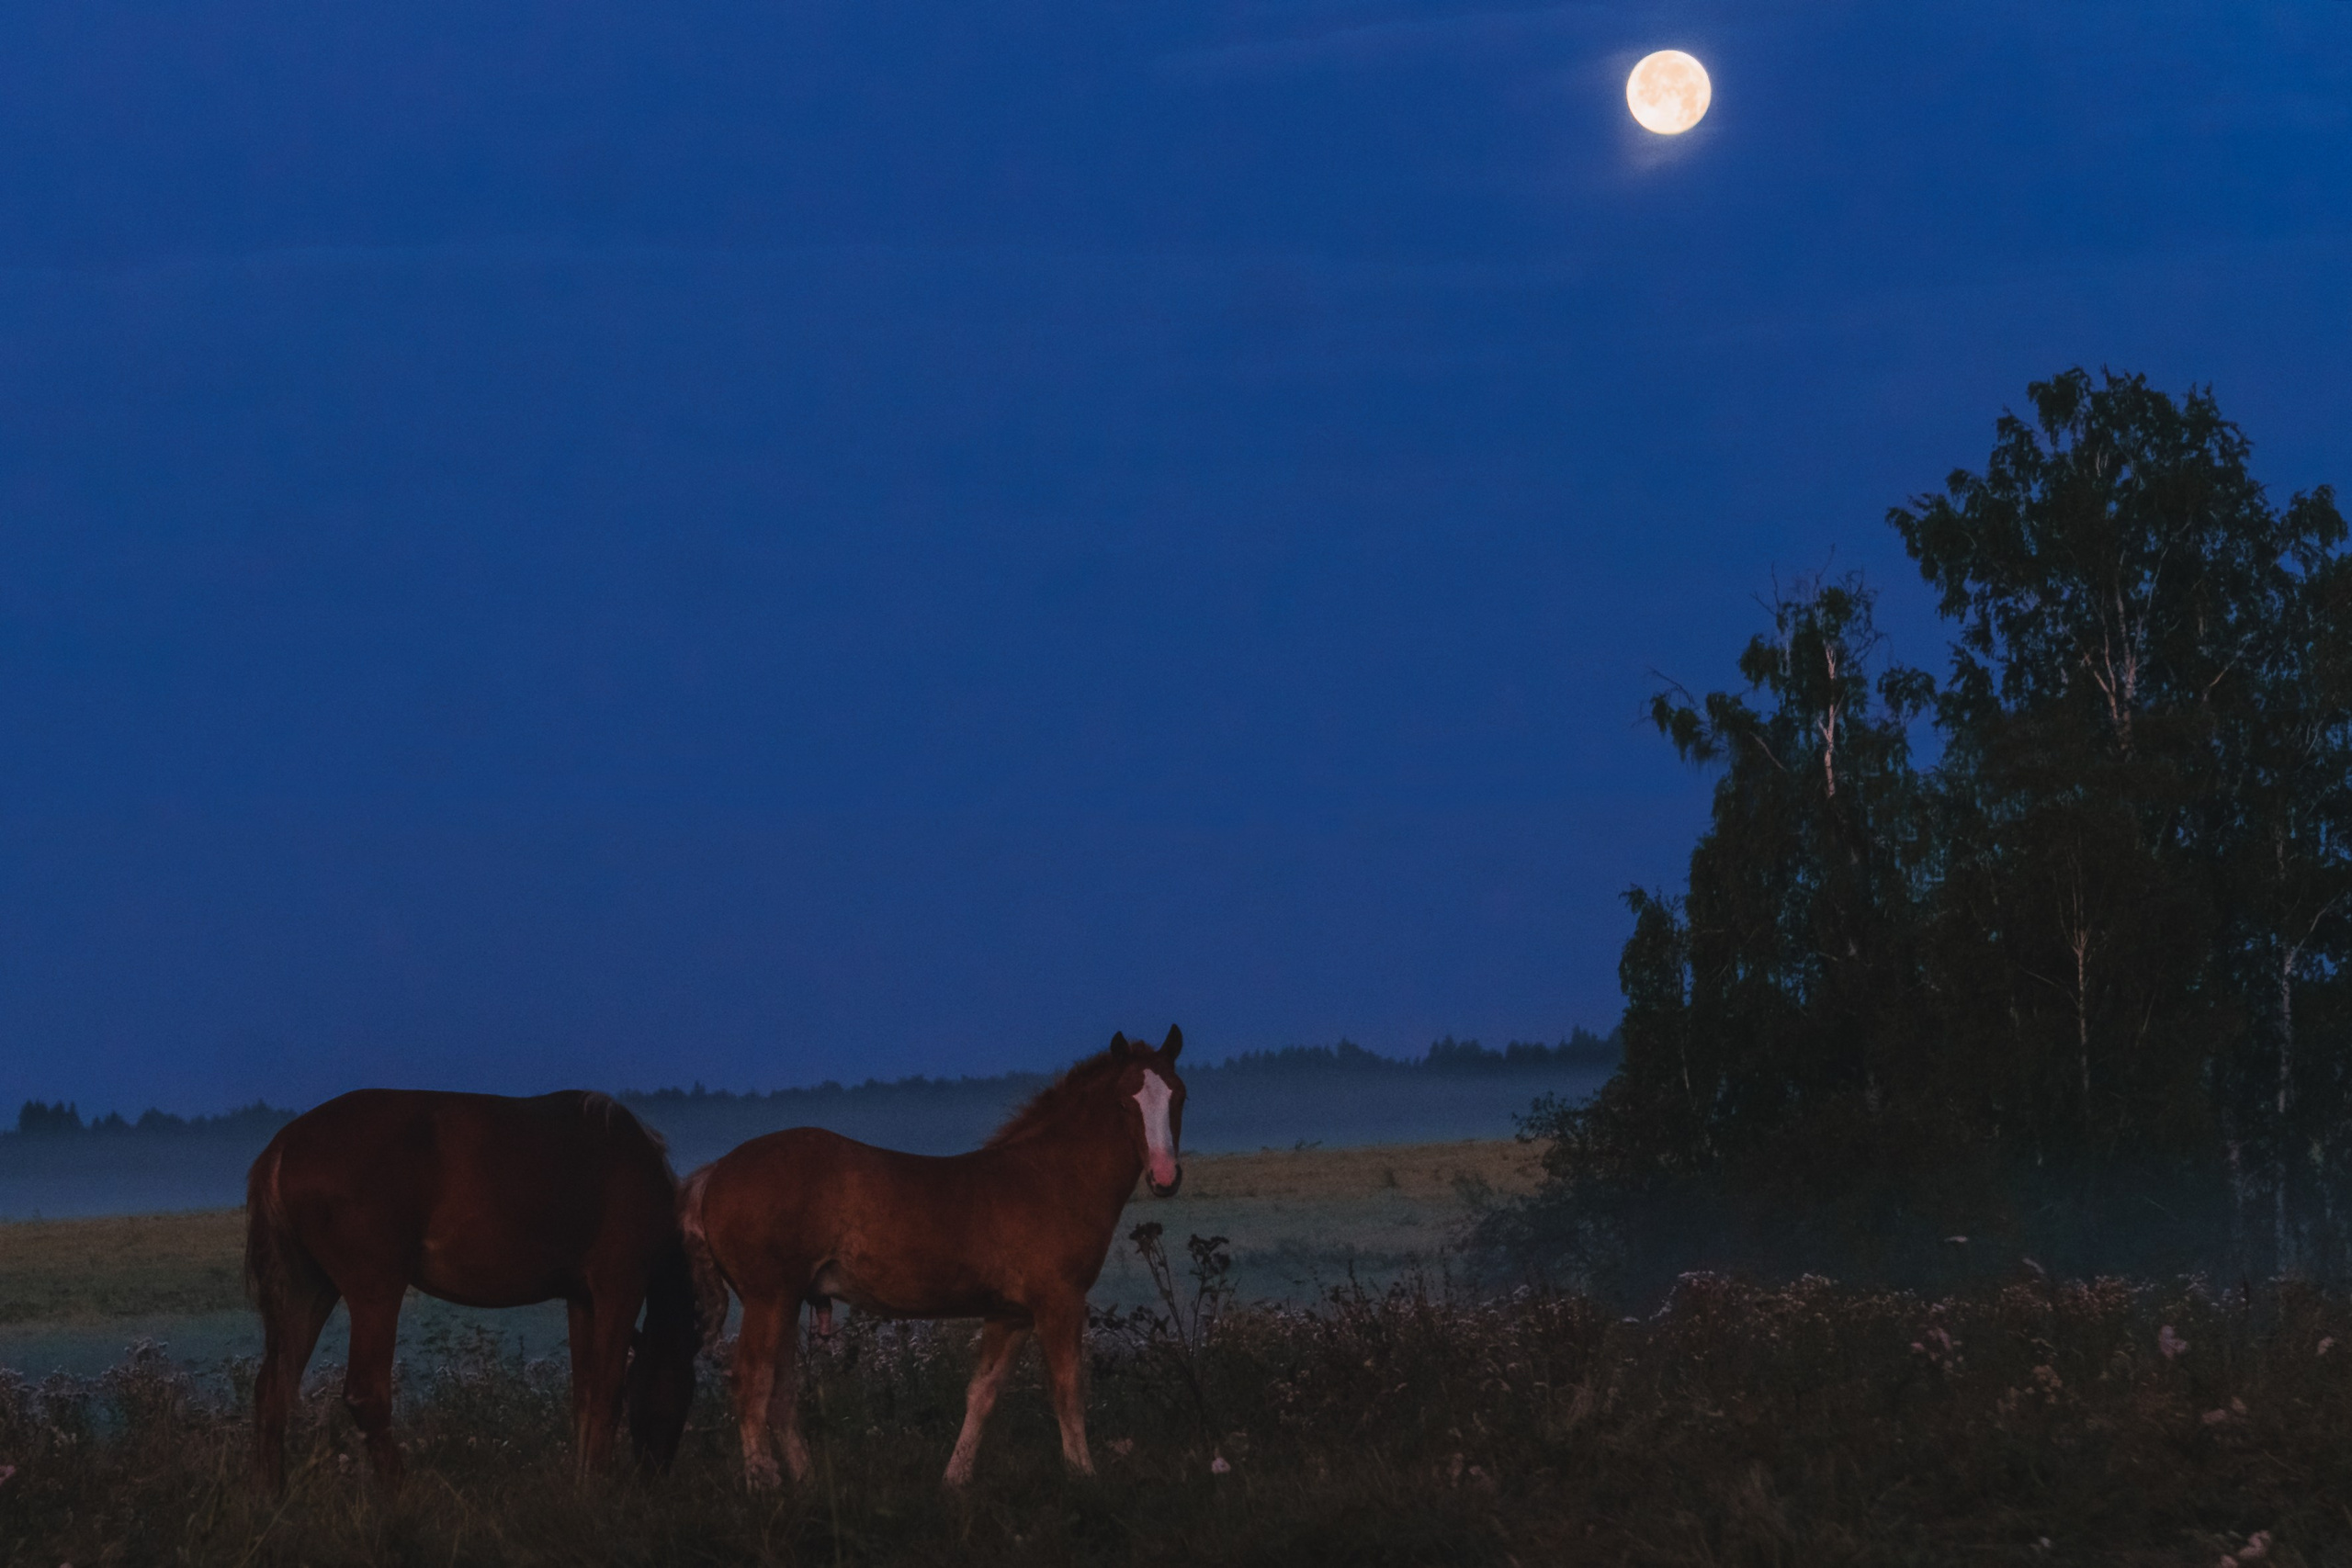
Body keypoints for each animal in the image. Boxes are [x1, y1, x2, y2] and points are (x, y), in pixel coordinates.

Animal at [244, 1088, 701, 1490]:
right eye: (682, 1389)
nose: (655, 1474)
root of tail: (282, 1148)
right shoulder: (619, 1287)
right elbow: (606, 1394)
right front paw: (598, 1489)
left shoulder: (582, 1299)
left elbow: (585, 1396)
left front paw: (583, 1481)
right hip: (375, 1292)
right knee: (365, 1394)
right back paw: (402, 1494)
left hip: (308, 1291)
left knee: (272, 1390)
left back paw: (271, 1494)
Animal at [681, 1026, 1188, 1488]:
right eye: (1125, 1102)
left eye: (1179, 1097)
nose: (1165, 1177)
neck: (1049, 1178)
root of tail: (716, 1171)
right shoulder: (1059, 1301)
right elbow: (1067, 1388)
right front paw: (1084, 1474)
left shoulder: (1011, 1315)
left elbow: (982, 1392)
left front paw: (954, 1481)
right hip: (768, 1300)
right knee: (750, 1383)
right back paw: (763, 1486)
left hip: (785, 1304)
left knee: (780, 1392)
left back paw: (807, 1482)